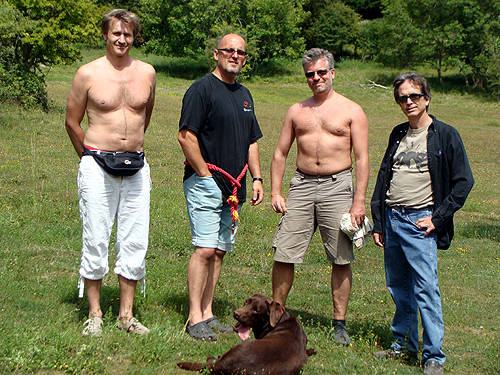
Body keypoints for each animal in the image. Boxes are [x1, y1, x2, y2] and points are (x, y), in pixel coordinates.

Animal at [178, 294, 314, 375]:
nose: (236, 313)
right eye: (246, 302)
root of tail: (221, 365)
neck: (279, 320)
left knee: (210, 359)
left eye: (256, 310)